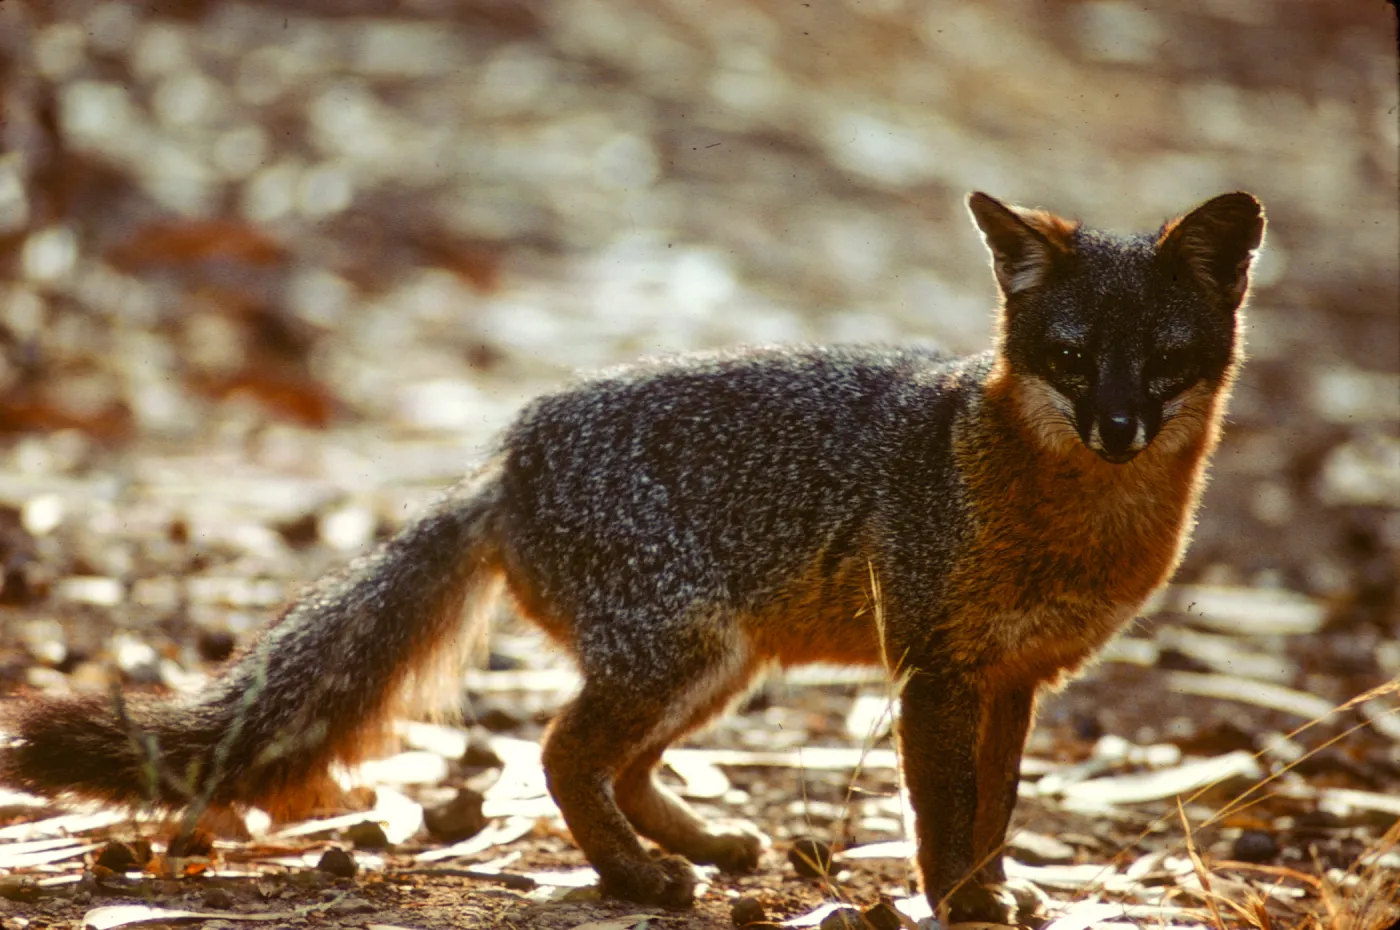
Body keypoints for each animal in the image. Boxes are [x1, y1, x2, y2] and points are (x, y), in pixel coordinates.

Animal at [0, 190, 1264, 923]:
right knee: (563, 753)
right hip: (680, 653)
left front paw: (995, 889)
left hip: (716, 664)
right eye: (1068, 354)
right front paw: (957, 903)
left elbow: (993, 809)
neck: (1063, 515)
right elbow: (941, 816)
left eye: (1160, 357)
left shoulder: (1013, 681)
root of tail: (504, 457)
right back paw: (634, 878)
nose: (1115, 426)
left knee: (623, 764)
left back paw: (698, 845)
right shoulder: (936, 672)